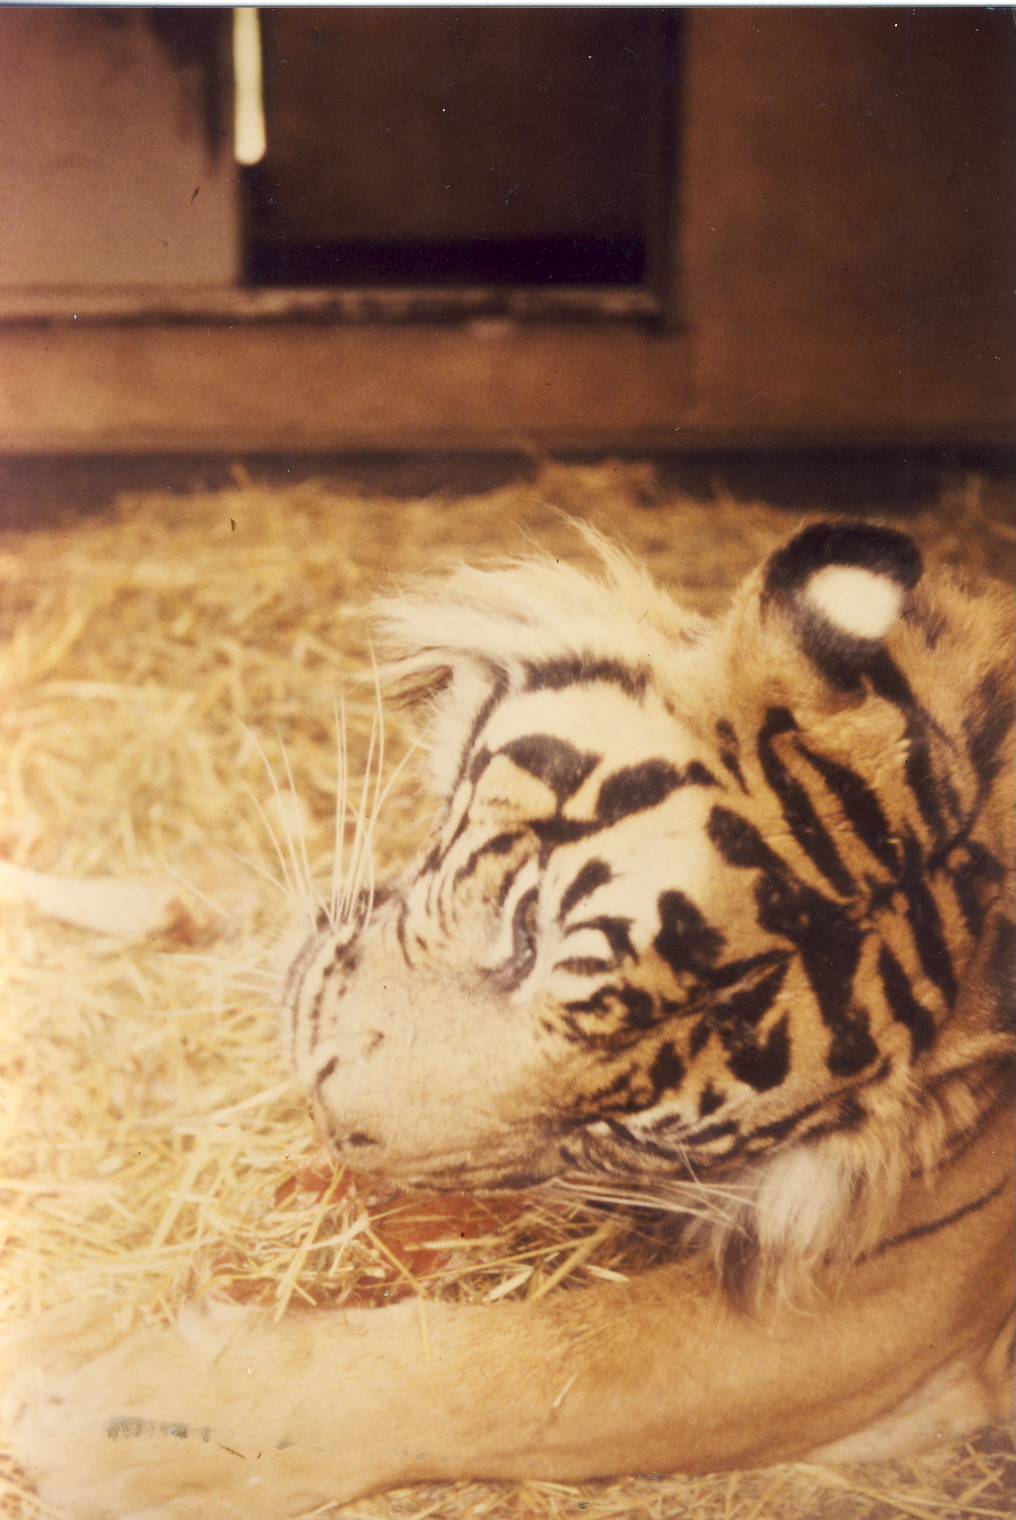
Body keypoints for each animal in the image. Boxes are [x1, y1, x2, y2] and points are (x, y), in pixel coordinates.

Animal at [4, 518, 1013, 1520]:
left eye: (615, 1131)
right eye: (527, 930)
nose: (332, 1121)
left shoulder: (873, 1300)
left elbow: (533, 1372)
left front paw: (111, 1415)